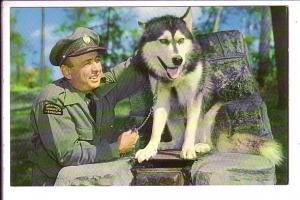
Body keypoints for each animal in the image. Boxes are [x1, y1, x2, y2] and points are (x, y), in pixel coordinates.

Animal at [135, 7, 282, 165]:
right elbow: (156, 128)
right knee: (178, 140)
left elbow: (190, 128)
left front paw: (188, 150)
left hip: (216, 111)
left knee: (211, 144)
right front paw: (149, 149)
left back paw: (200, 146)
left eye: (181, 40)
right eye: (163, 41)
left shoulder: (194, 97)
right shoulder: (161, 98)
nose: (178, 60)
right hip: (172, 114)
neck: (176, 79)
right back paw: (169, 144)